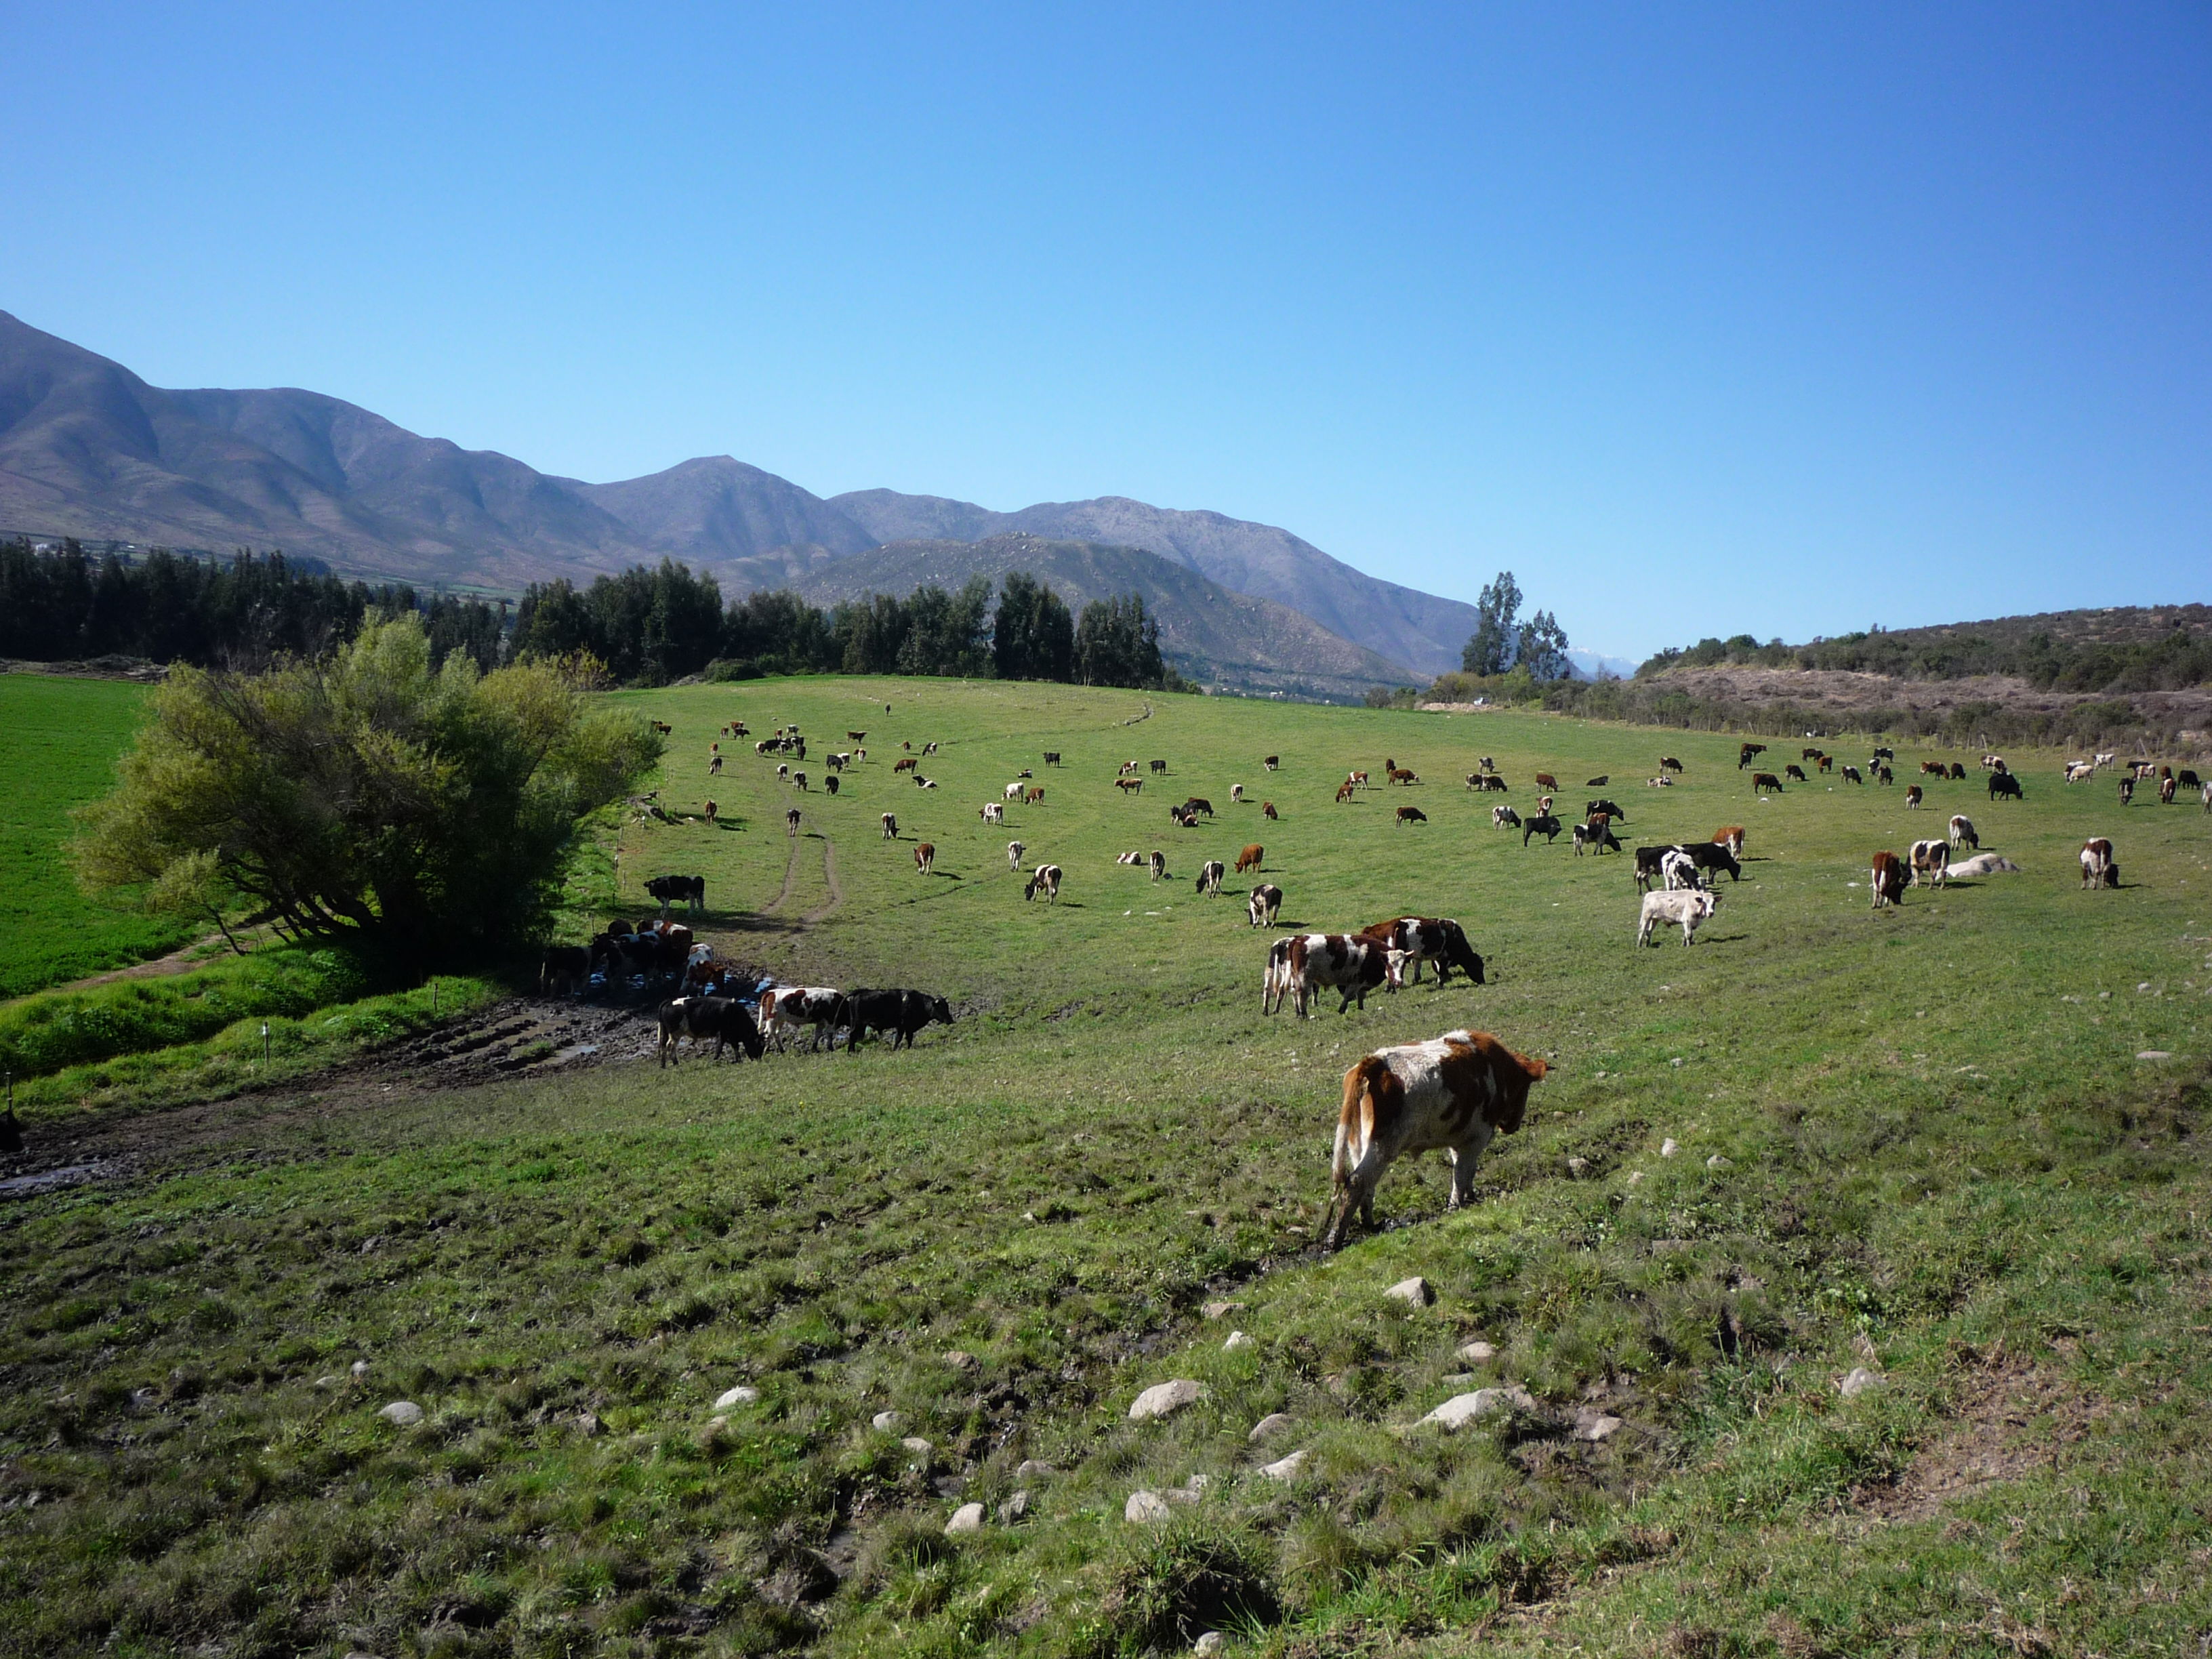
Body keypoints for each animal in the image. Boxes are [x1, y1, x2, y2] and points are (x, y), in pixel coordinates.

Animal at [650, 995, 765, 1070]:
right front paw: (715, 1060)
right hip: (675, 1033)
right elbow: (720, 1047)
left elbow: (735, 1047)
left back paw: (664, 1065)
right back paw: (675, 1063)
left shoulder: (731, 1036)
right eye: (758, 1045)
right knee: (670, 1046)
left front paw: (738, 1060)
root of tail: (669, 1001)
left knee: (664, 1046)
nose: (758, 1060)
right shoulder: (723, 1033)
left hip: (667, 1032)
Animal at [836, 986, 951, 1052]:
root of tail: (860, 992)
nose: (951, 1020)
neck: (919, 1003)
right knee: (852, 1036)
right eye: (941, 1007)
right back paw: (851, 1052)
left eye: (947, 1006)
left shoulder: (907, 1028)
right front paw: (895, 1049)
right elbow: (900, 1038)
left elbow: (907, 1038)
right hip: (858, 1024)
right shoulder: (903, 1026)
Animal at [1274, 928, 1389, 1021]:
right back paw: (1304, 1015)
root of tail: (1297, 941)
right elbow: (1348, 997)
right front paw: (1342, 1011)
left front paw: (1360, 1009)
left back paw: (1298, 1014)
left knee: (1293, 992)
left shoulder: (1361, 983)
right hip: (1304, 978)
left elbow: (1360, 997)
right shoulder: (1356, 981)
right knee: (1302, 994)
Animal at [1318, 1035, 1548, 1256]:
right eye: (1524, 1087)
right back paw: (1334, 1240)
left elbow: (1465, 1169)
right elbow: (1462, 1172)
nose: (1513, 1126)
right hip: (1382, 1145)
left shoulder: (1461, 1138)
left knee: (1367, 1184)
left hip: (1358, 1145)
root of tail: (1373, 1062)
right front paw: (1456, 1205)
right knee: (1357, 1181)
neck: (1495, 1068)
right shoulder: (1479, 1135)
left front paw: (1470, 1197)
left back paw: (1369, 1224)